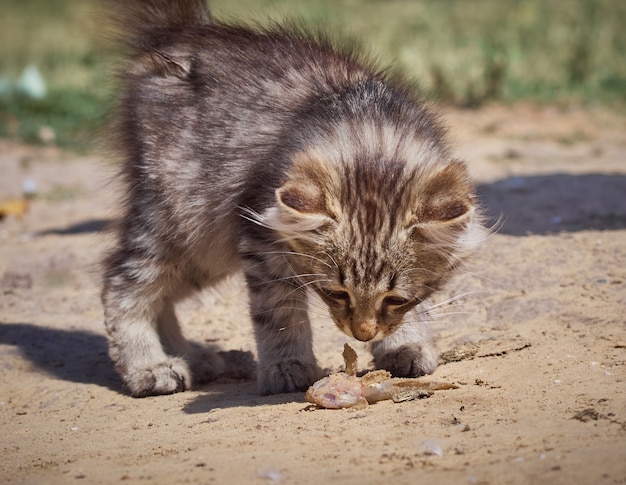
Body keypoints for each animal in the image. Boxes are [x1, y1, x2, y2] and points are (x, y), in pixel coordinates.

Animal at [101, 0, 482, 398]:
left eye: (395, 299)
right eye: (336, 293)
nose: (362, 334)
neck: (370, 137)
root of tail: (185, 32)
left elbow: (416, 309)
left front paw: (406, 344)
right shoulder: (261, 238)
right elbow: (279, 311)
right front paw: (287, 365)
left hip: (207, 248)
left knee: (160, 293)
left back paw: (193, 358)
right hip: (182, 219)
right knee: (121, 282)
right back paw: (149, 367)